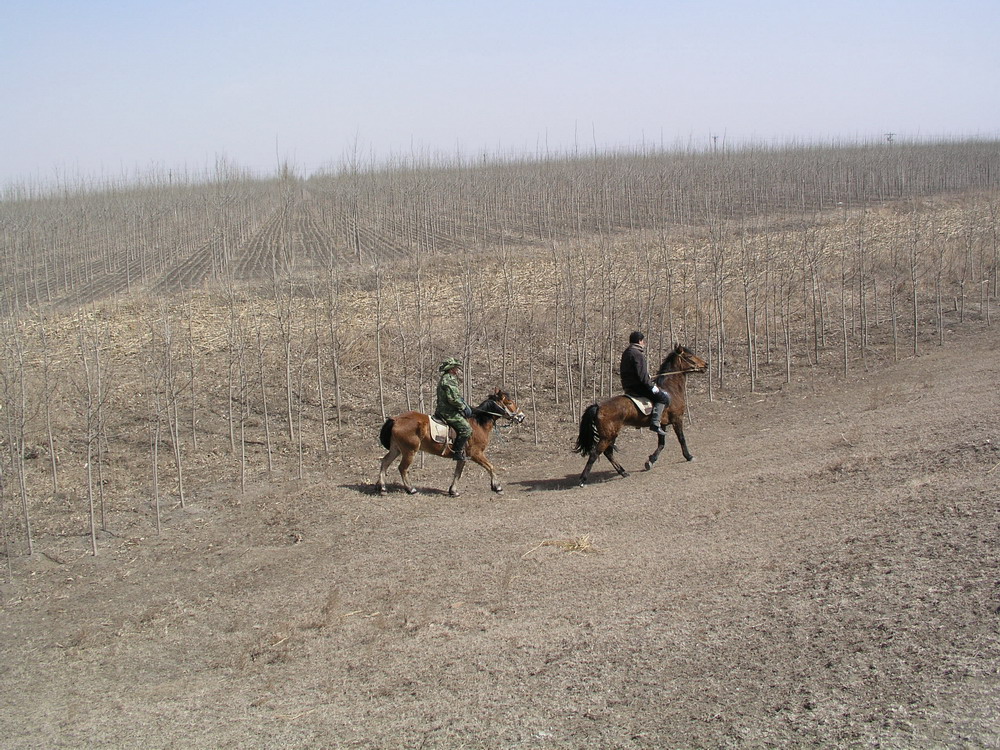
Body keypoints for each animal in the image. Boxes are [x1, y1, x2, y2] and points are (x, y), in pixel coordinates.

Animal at [378, 388, 528, 500]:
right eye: (509, 402)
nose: (521, 416)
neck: (477, 423)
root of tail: (396, 419)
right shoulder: (476, 454)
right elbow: (491, 467)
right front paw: (497, 487)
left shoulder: (462, 456)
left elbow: (457, 473)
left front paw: (453, 490)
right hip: (409, 451)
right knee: (402, 468)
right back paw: (411, 489)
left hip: (396, 450)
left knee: (385, 462)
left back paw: (383, 488)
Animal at [576, 346, 708, 488]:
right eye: (689, 357)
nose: (706, 365)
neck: (671, 390)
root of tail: (599, 407)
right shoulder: (677, 419)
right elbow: (681, 439)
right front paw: (689, 456)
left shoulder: (662, 425)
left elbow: (661, 444)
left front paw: (651, 461)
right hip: (607, 437)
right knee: (595, 454)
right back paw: (583, 480)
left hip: (611, 435)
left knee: (608, 453)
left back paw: (623, 472)